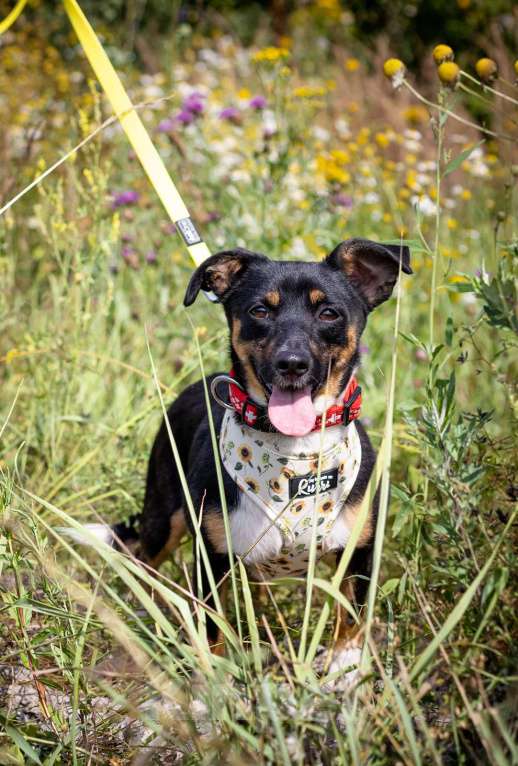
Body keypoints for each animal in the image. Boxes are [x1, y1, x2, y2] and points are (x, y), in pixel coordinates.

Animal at [86, 238, 410, 684]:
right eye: (260, 310)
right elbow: (212, 628)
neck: (294, 457)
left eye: (328, 312)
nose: (292, 364)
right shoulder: (211, 558)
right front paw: (216, 678)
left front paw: (344, 670)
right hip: (163, 516)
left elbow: (351, 618)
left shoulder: (359, 551)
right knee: (144, 563)